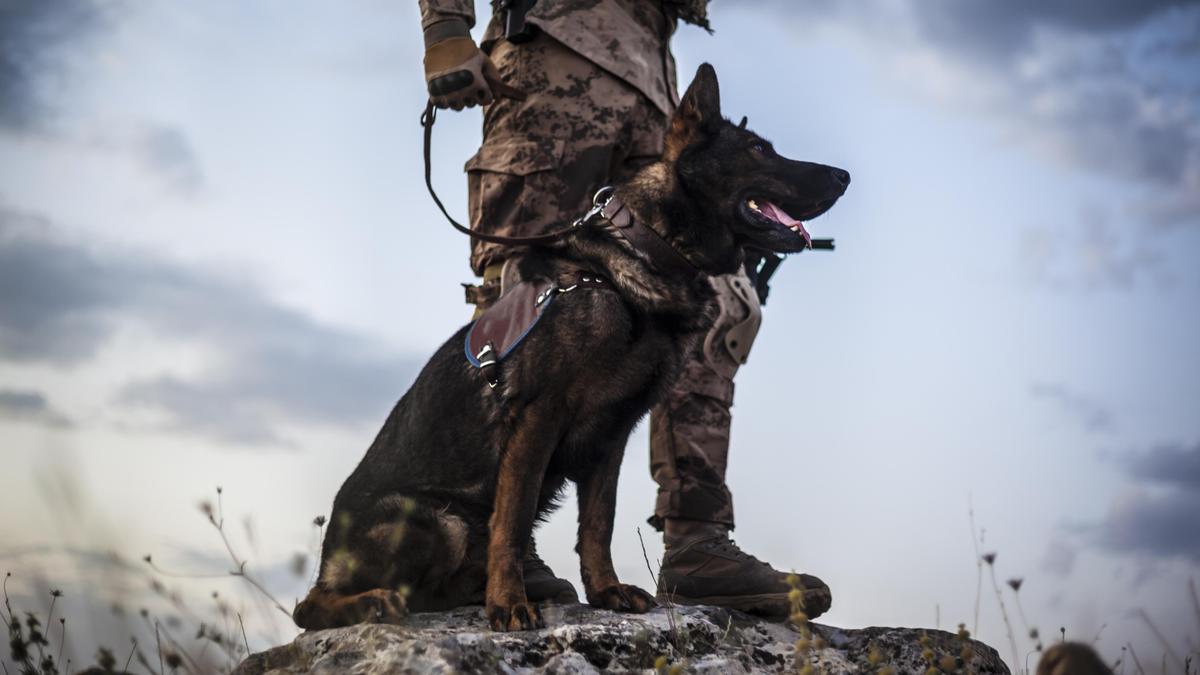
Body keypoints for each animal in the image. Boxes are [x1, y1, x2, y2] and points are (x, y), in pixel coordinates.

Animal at [294, 64, 849, 629]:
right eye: (758, 150)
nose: (844, 176)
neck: (641, 257)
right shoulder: (539, 418)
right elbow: (514, 523)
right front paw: (509, 603)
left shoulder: (613, 436)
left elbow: (598, 525)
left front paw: (605, 591)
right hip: (436, 521)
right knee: (308, 607)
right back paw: (375, 601)